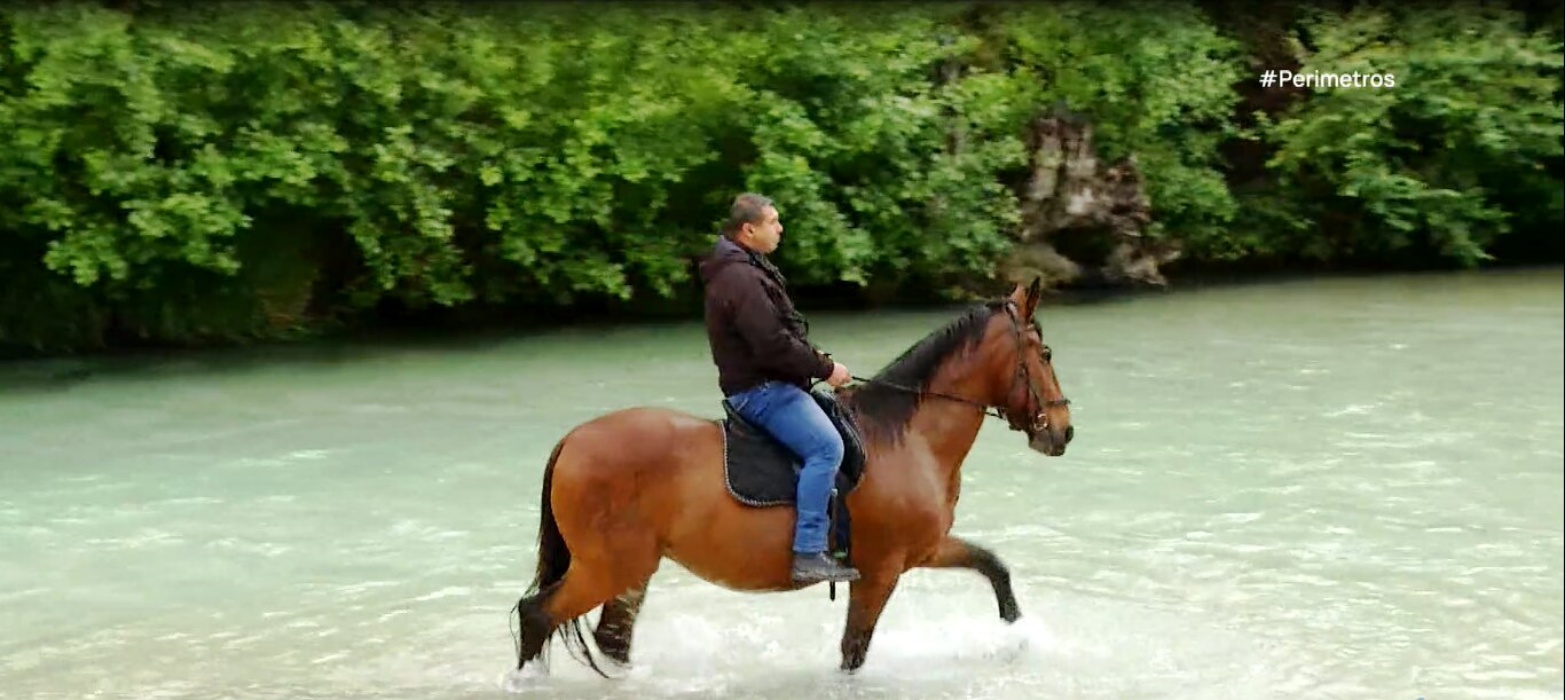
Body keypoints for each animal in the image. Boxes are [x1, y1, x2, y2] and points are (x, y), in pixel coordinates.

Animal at [513, 278, 1076, 679]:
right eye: (1045, 355)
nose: (1064, 431)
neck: (905, 436)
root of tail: (571, 441)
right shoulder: (880, 572)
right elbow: (853, 652)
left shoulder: (923, 550)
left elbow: (994, 568)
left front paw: (1016, 636)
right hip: (605, 567)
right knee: (537, 615)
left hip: (630, 570)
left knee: (609, 638)